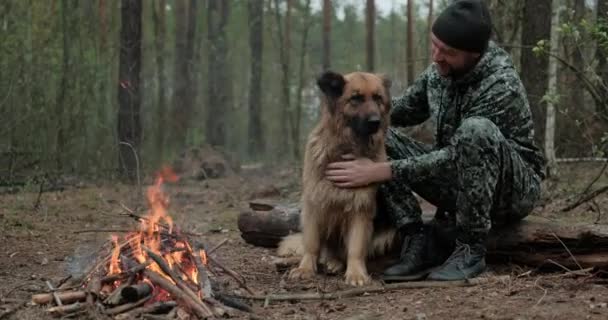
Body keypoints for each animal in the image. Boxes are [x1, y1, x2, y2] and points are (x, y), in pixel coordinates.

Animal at [278, 70, 396, 284]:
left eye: (378, 98)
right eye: (356, 98)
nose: (375, 122)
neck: (347, 146)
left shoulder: (361, 207)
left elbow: (356, 247)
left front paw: (356, 273)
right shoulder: (314, 203)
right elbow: (311, 243)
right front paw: (305, 268)